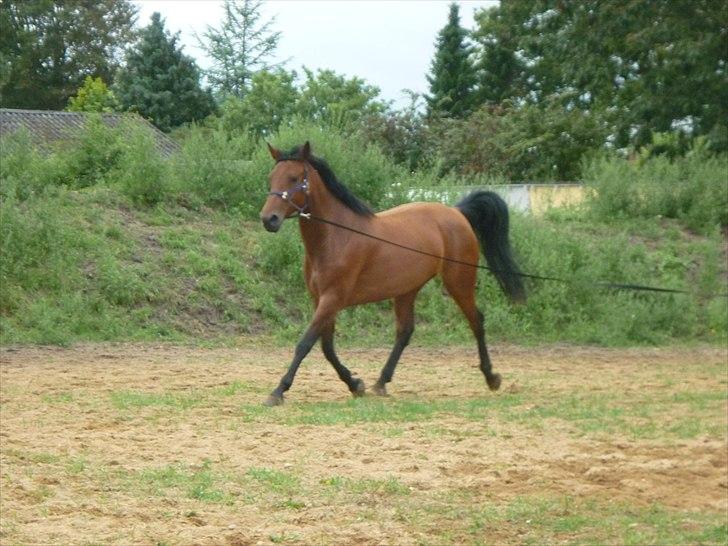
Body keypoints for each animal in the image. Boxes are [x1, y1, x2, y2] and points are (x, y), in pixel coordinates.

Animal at [256, 140, 524, 404]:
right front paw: (355, 384)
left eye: (294, 178)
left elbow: (306, 343)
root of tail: (457, 213)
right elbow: (327, 347)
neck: (337, 237)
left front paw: (278, 391)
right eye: (271, 178)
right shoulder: (320, 300)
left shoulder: (332, 299)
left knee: (477, 321)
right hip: (407, 290)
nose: (269, 219)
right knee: (405, 331)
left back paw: (491, 377)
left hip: (459, 282)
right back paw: (381, 382)